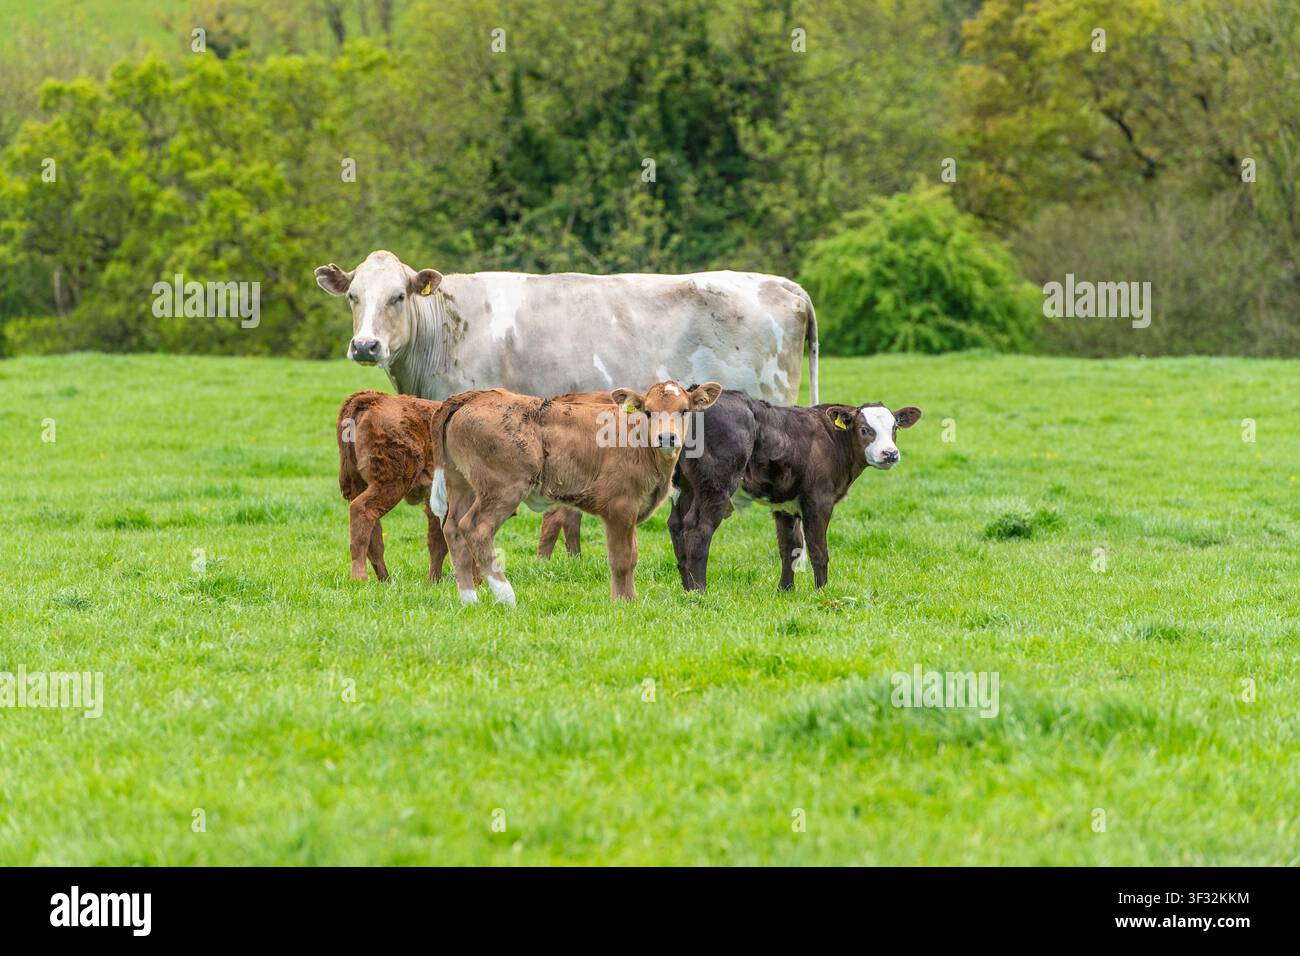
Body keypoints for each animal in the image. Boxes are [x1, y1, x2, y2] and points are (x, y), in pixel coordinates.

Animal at [336, 390, 450, 583]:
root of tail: (374, 398)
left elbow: (438, 539)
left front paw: (434, 581)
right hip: (391, 484)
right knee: (362, 511)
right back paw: (360, 578)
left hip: (361, 485)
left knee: (373, 532)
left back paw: (386, 580)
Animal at [429, 380, 722, 605]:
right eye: (648, 412)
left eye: (684, 410)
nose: (667, 438)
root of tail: (474, 396)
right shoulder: (619, 507)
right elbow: (622, 558)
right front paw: (623, 603)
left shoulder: (632, 510)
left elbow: (633, 555)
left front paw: (631, 599)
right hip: (503, 486)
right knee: (475, 528)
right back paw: (506, 596)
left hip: (461, 482)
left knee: (453, 529)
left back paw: (470, 599)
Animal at [668, 391, 922, 592]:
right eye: (864, 429)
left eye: (895, 428)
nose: (890, 453)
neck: (832, 440)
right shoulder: (819, 500)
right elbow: (818, 550)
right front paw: (822, 592)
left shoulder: (784, 504)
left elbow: (790, 548)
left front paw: (785, 590)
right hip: (716, 485)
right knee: (699, 528)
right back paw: (700, 591)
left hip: (685, 486)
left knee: (677, 525)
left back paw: (687, 589)